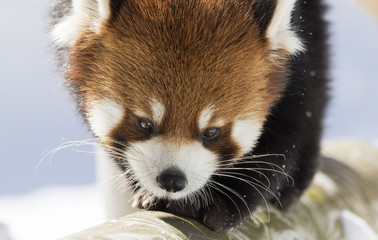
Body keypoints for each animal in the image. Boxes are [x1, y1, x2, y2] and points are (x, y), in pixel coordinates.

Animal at [51, 0, 330, 230]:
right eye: (144, 123)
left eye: (211, 132)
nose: (172, 180)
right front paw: (148, 191)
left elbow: (285, 133)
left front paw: (224, 203)